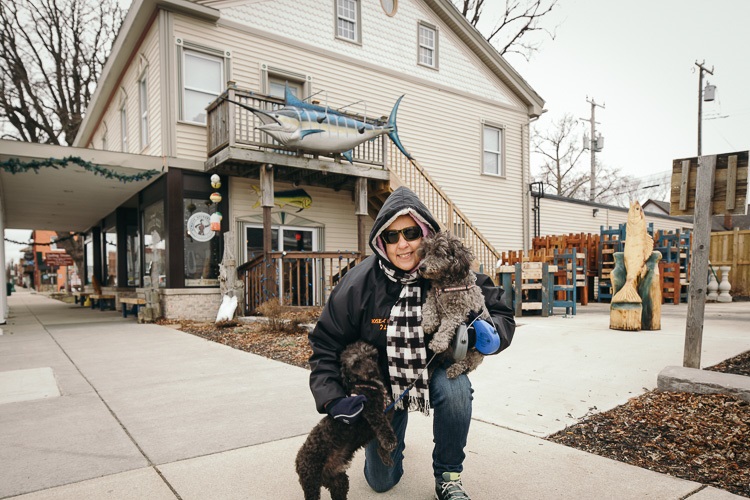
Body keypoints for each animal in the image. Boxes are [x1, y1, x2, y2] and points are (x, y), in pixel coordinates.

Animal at [296, 342, 400, 500]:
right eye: (356, 363)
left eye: (372, 356)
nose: (372, 371)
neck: (370, 383)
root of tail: (298, 460)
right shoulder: (372, 411)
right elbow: (382, 426)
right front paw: (389, 441)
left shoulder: (388, 412)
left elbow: (382, 438)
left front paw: (385, 456)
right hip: (311, 482)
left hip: (339, 481)